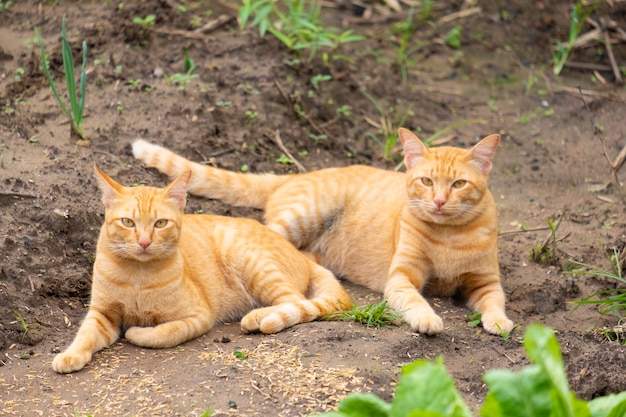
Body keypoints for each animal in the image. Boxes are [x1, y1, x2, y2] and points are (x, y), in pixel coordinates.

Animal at [51, 167, 352, 374]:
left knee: (294, 301)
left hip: (252, 263)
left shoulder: (197, 317)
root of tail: (301, 254)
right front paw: (70, 355)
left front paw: (137, 331)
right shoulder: (102, 314)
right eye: (128, 222)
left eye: (160, 223)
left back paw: (257, 317)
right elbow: (85, 335)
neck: (137, 275)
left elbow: (160, 333)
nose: (144, 242)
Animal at [130, 128, 512, 336]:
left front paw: (500, 323)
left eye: (459, 184)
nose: (438, 201)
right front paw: (428, 319)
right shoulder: (402, 278)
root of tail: (295, 175)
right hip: (298, 219)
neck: (451, 236)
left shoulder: (485, 281)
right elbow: (415, 300)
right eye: (427, 181)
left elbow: (495, 302)